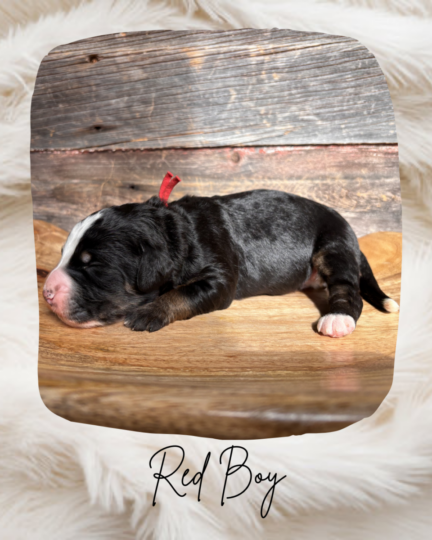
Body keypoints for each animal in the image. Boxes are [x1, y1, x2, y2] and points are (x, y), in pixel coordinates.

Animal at [42, 189, 399, 337]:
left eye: (93, 265)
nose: (46, 292)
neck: (174, 230)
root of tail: (350, 233)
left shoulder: (218, 277)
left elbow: (182, 293)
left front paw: (149, 312)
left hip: (331, 245)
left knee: (348, 289)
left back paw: (338, 319)